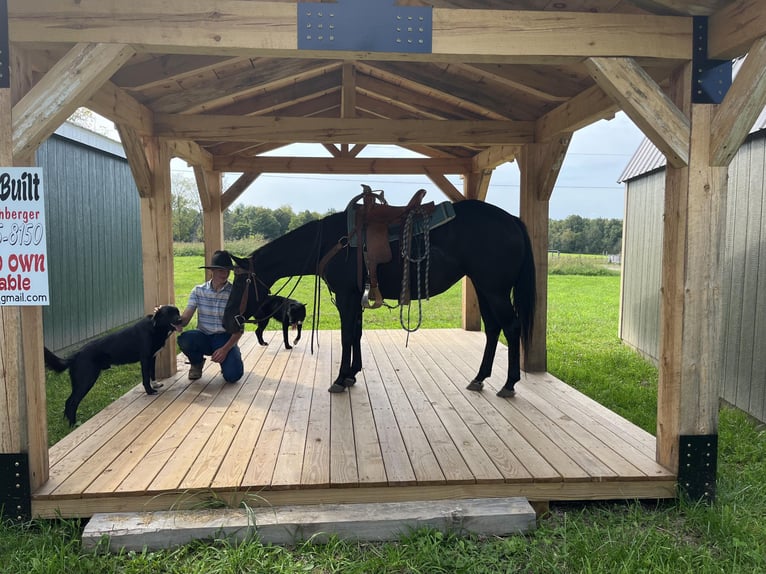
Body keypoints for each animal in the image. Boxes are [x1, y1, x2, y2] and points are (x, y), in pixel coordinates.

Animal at [43, 306, 183, 428]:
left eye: (177, 312)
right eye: (169, 314)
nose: (180, 319)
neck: (156, 327)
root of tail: (75, 355)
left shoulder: (153, 358)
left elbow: (152, 374)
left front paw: (155, 384)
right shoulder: (145, 359)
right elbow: (145, 378)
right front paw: (150, 391)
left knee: (68, 402)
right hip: (86, 380)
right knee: (72, 402)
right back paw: (73, 425)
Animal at [222, 196, 536, 398]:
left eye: (239, 284)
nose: (226, 322)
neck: (331, 242)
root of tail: (512, 220)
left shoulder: (347, 297)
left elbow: (347, 336)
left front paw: (340, 378)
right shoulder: (355, 298)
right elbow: (357, 334)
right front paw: (352, 374)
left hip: (494, 290)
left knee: (511, 327)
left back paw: (509, 384)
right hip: (484, 288)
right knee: (493, 328)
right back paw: (479, 378)